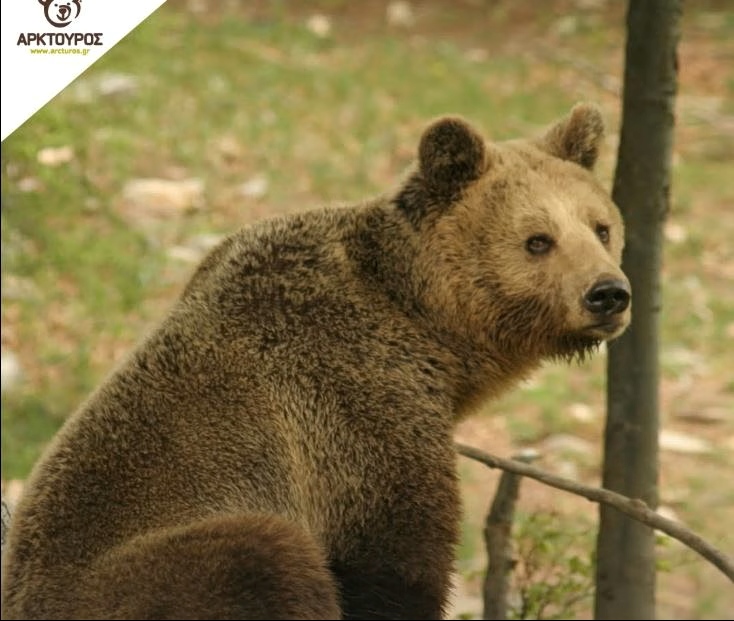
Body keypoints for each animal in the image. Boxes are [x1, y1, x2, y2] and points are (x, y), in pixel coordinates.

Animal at [0, 103, 630, 620]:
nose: (608, 293)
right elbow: (396, 558)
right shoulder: (354, 404)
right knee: (261, 556)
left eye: (601, 227)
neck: (428, 326)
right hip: (141, 575)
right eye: (538, 240)